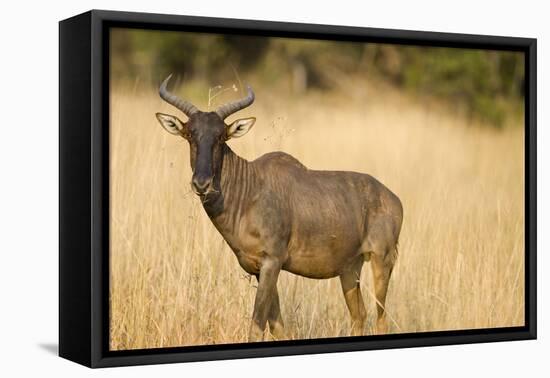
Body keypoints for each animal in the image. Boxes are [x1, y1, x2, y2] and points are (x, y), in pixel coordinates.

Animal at [156, 74, 406, 342]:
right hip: (350, 268)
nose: (202, 184)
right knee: (359, 315)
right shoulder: (259, 268)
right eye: (189, 134)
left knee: (381, 318)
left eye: (222, 136)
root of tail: (394, 199)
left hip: (382, 260)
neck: (251, 187)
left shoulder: (272, 262)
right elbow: (278, 326)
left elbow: (257, 325)